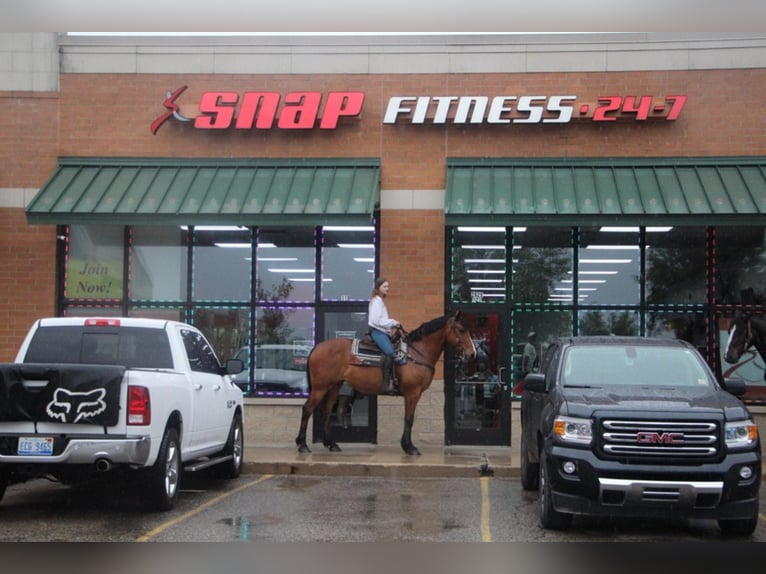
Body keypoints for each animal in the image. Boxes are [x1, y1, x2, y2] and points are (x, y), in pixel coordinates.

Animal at [296, 312, 476, 456]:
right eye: (461, 330)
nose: (472, 354)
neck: (417, 353)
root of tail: (317, 347)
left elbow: (409, 418)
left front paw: (407, 445)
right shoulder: (412, 393)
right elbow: (409, 419)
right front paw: (409, 447)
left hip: (334, 385)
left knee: (326, 411)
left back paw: (331, 444)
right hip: (320, 387)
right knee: (307, 409)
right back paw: (303, 445)